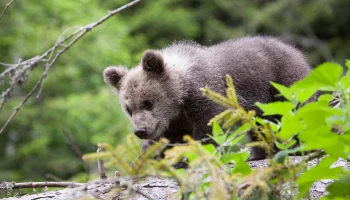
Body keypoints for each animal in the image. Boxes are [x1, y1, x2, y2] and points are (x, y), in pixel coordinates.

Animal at [102, 36, 310, 160]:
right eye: (129, 109)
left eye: (148, 102)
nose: (140, 130)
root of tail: (295, 50)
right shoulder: (175, 120)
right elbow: (172, 138)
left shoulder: (207, 95)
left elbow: (208, 129)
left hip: (284, 85)